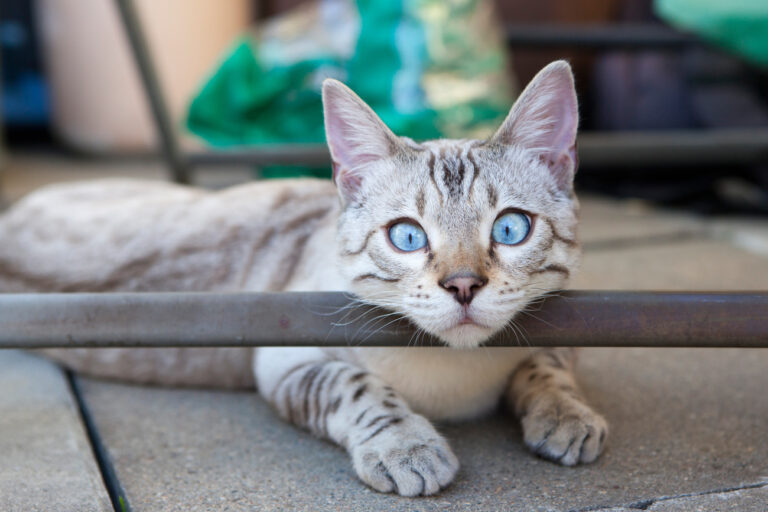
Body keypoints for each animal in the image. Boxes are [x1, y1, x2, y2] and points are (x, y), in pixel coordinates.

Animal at [0, 61, 608, 496]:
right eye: (407, 237)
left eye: (510, 228)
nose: (462, 285)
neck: (456, 376)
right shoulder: (281, 358)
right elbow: (356, 386)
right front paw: (407, 448)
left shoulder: (565, 318)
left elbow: (546, 366)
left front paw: (567, 416)